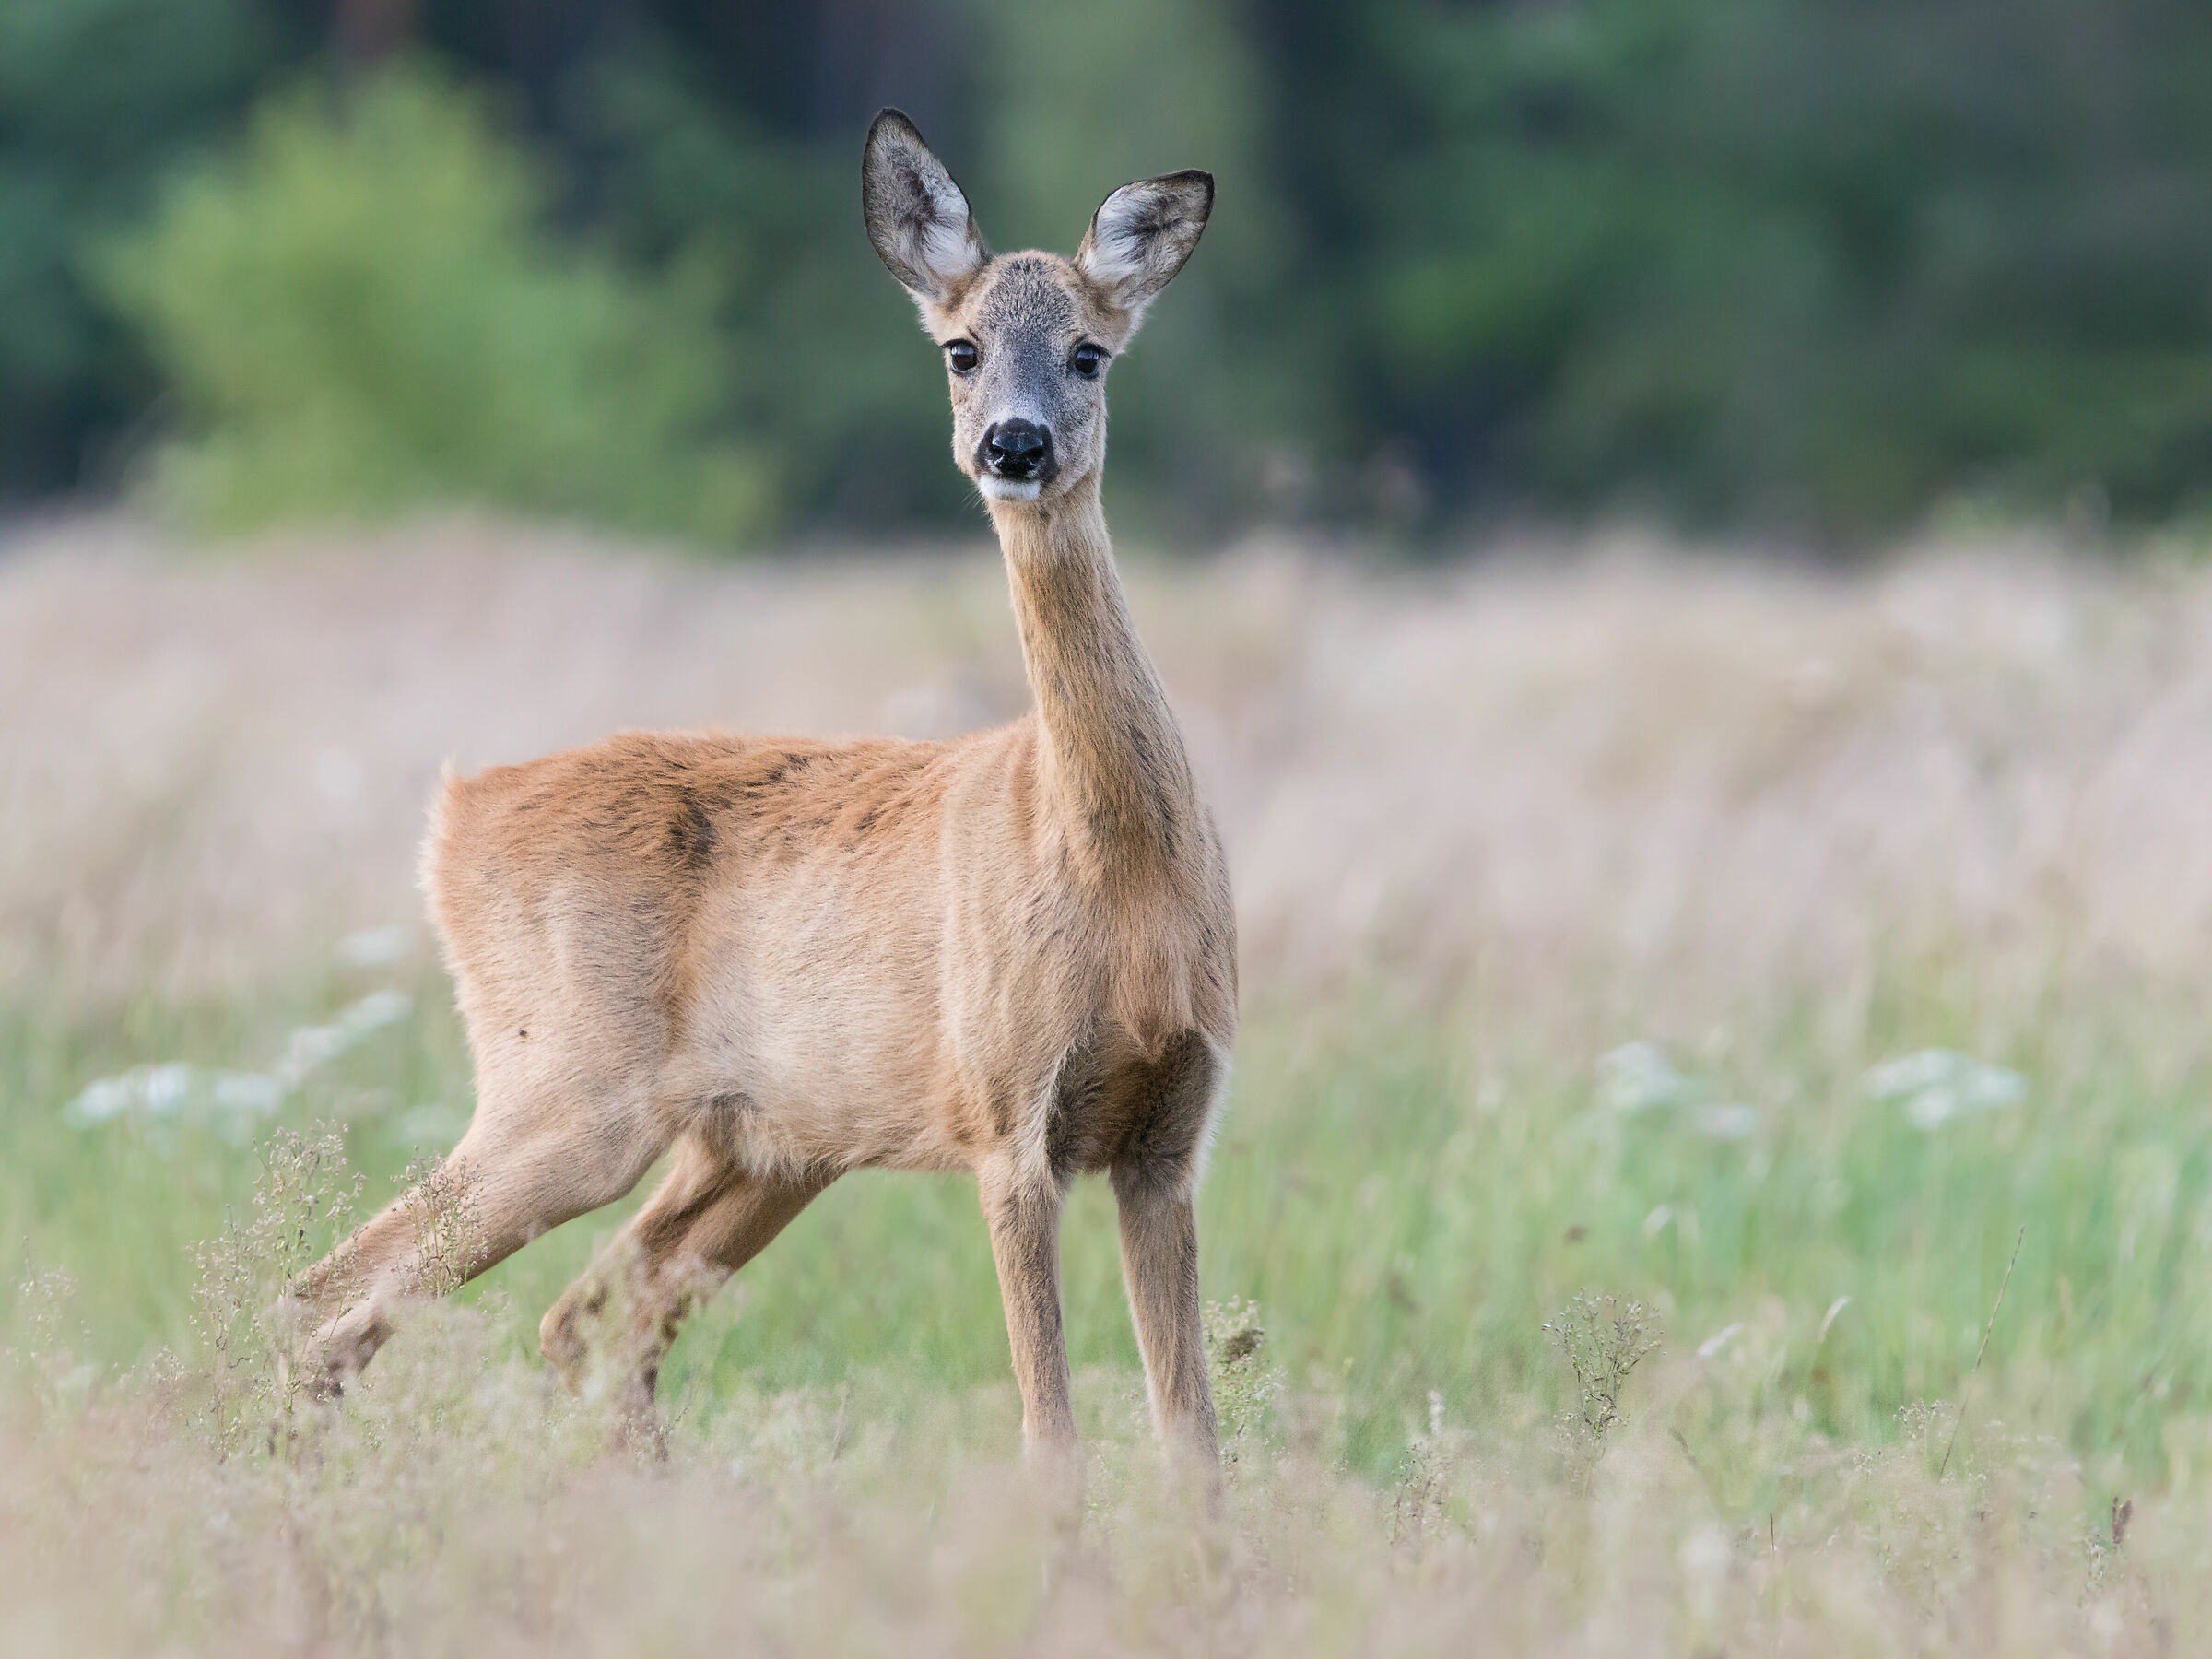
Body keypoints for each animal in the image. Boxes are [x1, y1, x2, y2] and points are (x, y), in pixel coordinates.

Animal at [294, 109, 1236, 1474]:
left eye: (1091, 353)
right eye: (960, 348)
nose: (1015, 446)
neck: (1114, 878)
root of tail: (454, 814)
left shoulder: (1169, 1134)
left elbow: (1194, 1445)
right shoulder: (1004, 1116)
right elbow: (1050, 1439)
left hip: (764, 1142)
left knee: (583, 1317)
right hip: (564, 1082)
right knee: (332, 1298)